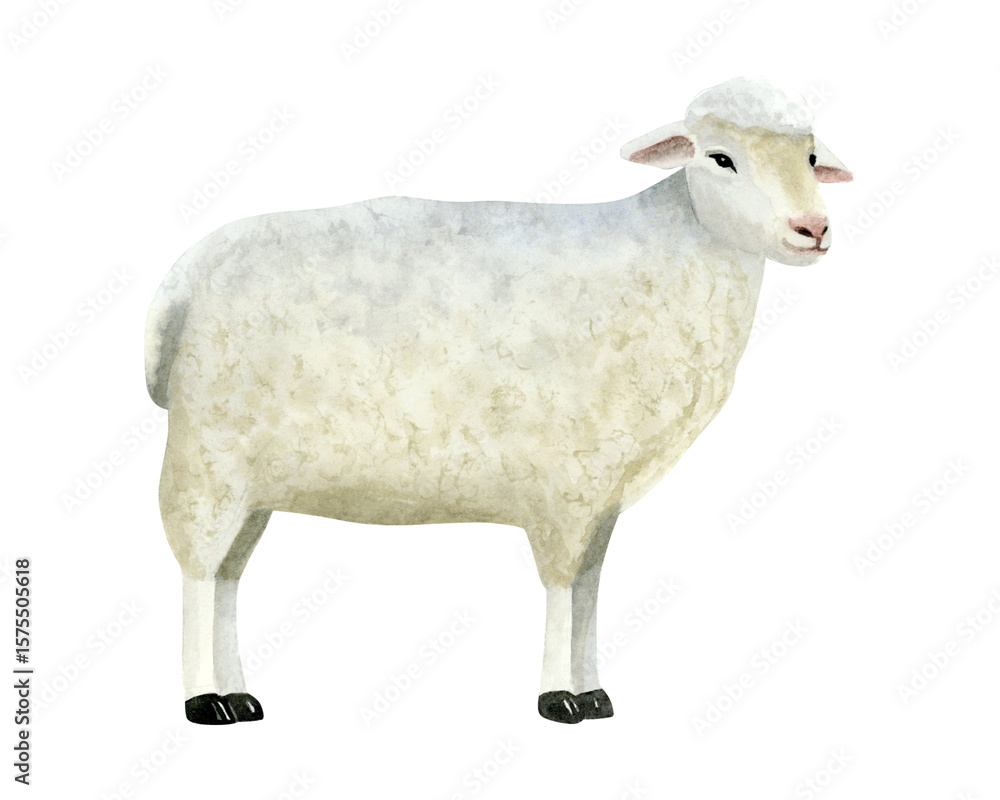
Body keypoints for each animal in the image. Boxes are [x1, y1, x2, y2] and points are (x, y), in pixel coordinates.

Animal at [146, 76, 852, 725]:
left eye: (812, 157)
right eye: (720, 158)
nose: (813, 229)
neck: (676, 248)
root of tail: (183, 275)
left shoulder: (603, 497)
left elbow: (590, 589)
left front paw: (595, 693)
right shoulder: (566, 484)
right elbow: (564, 586)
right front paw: (560, 697)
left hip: (252, 483)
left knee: (228, 576)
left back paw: (240, 694)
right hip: (205, 460)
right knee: (198, 572)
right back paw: (205, 700)